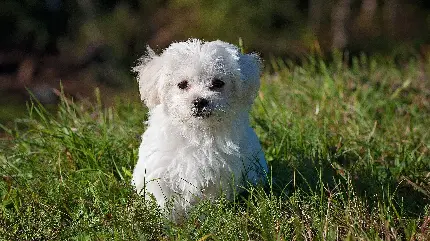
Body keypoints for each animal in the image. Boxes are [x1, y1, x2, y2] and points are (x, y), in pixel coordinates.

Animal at [131, 38, 268, 218]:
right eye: (182, 84)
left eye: (218, 83)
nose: (199, 101)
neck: (197, 132)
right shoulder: (160, 171)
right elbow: (164, 200)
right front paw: (169, 221)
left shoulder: (220, 175)